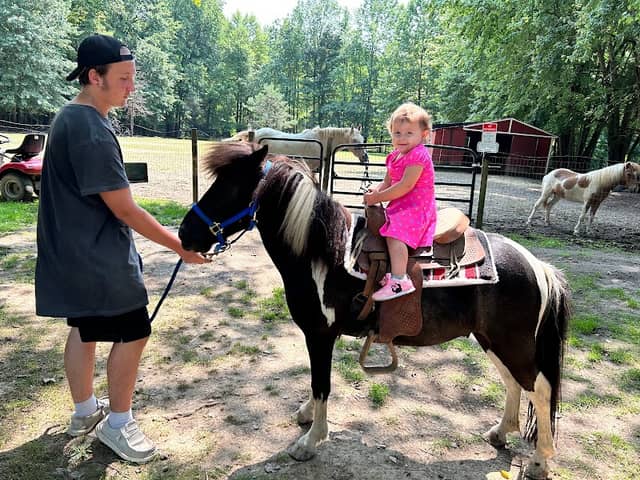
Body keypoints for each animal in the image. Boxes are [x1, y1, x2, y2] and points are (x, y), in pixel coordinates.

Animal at [178, 142, 571, 479]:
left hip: (512, 343)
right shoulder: (321, 337)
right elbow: (316, 381)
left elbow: (321, 383)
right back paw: (500, 432)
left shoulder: (320, 335)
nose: (184, 234)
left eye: (230, 187)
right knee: (514, 383)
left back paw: (540, 461)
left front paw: (310, 441)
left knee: (540, 389)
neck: (323, 254)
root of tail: (538, 266)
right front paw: (307, 416)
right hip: (491, 340)